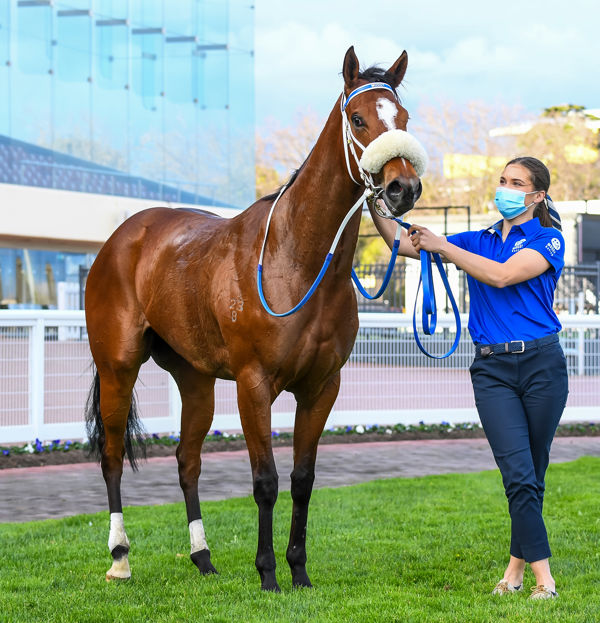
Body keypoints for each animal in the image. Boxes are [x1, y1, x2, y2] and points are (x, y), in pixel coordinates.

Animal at [84, 46, 426, 592]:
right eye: (357, 118)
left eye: (405, 118)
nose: (402, 188)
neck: (297, 260)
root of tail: (123, 237)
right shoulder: (254, 384)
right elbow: (265, 481)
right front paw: (268, 573)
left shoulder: (322, 387)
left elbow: (302, 481)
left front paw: (299, 570)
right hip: (118, 367)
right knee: (112, 456)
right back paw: (120, 558)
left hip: (196, 380)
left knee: (188, 461)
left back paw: (202, 557)